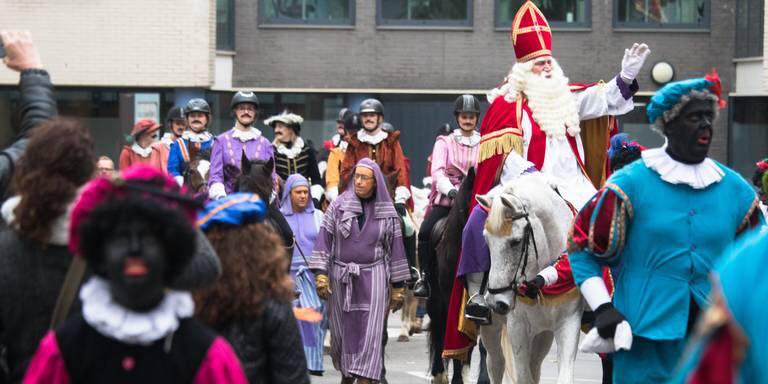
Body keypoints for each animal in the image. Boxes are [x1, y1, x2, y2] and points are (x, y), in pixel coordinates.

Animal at [476, 174, 580, 384]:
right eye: (486, 240)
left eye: (515, 242)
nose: (496, 302)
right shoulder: (518, 328)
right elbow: (523, 376)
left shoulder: (569, 321)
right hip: (491, 329)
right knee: (496, 364)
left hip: (543, 335)